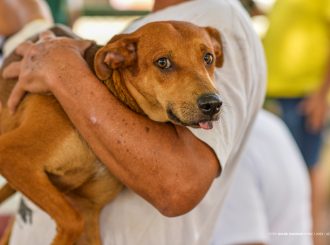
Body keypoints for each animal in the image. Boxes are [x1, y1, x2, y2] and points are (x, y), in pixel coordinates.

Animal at [0, 21, 223, 245]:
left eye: (208, 58)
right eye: (162, 62)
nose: (213, 104)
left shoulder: (89, 209)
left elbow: (77, 222)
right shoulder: (13, 156)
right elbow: (73, 222)